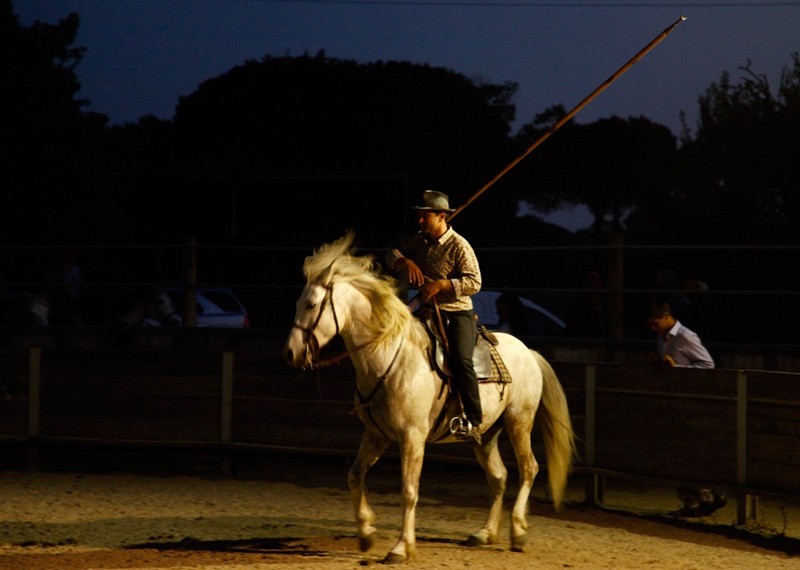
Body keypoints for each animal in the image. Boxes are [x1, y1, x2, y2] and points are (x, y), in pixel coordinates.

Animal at [284, 232, 580, 564]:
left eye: (311, 304)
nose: (291, 353)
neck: (390, 356)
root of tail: (529, 352)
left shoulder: (412, 437)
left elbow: (409, 491)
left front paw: (401, 547)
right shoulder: (376, 434)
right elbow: (354, 476)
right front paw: (367, 532)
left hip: (520, 422)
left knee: (529, 468)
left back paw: (517, 531)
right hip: (486, 433)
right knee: (499, 476)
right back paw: (485, 533)